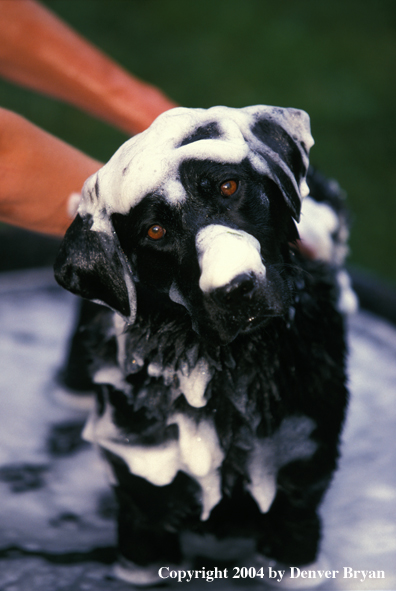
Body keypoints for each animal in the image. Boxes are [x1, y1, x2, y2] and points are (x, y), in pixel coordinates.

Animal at [55, 106, 350, 588]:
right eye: (155, 231)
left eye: (229, 186)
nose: (234, 289)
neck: (227, 373)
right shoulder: (144, 508)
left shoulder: (299, 494)